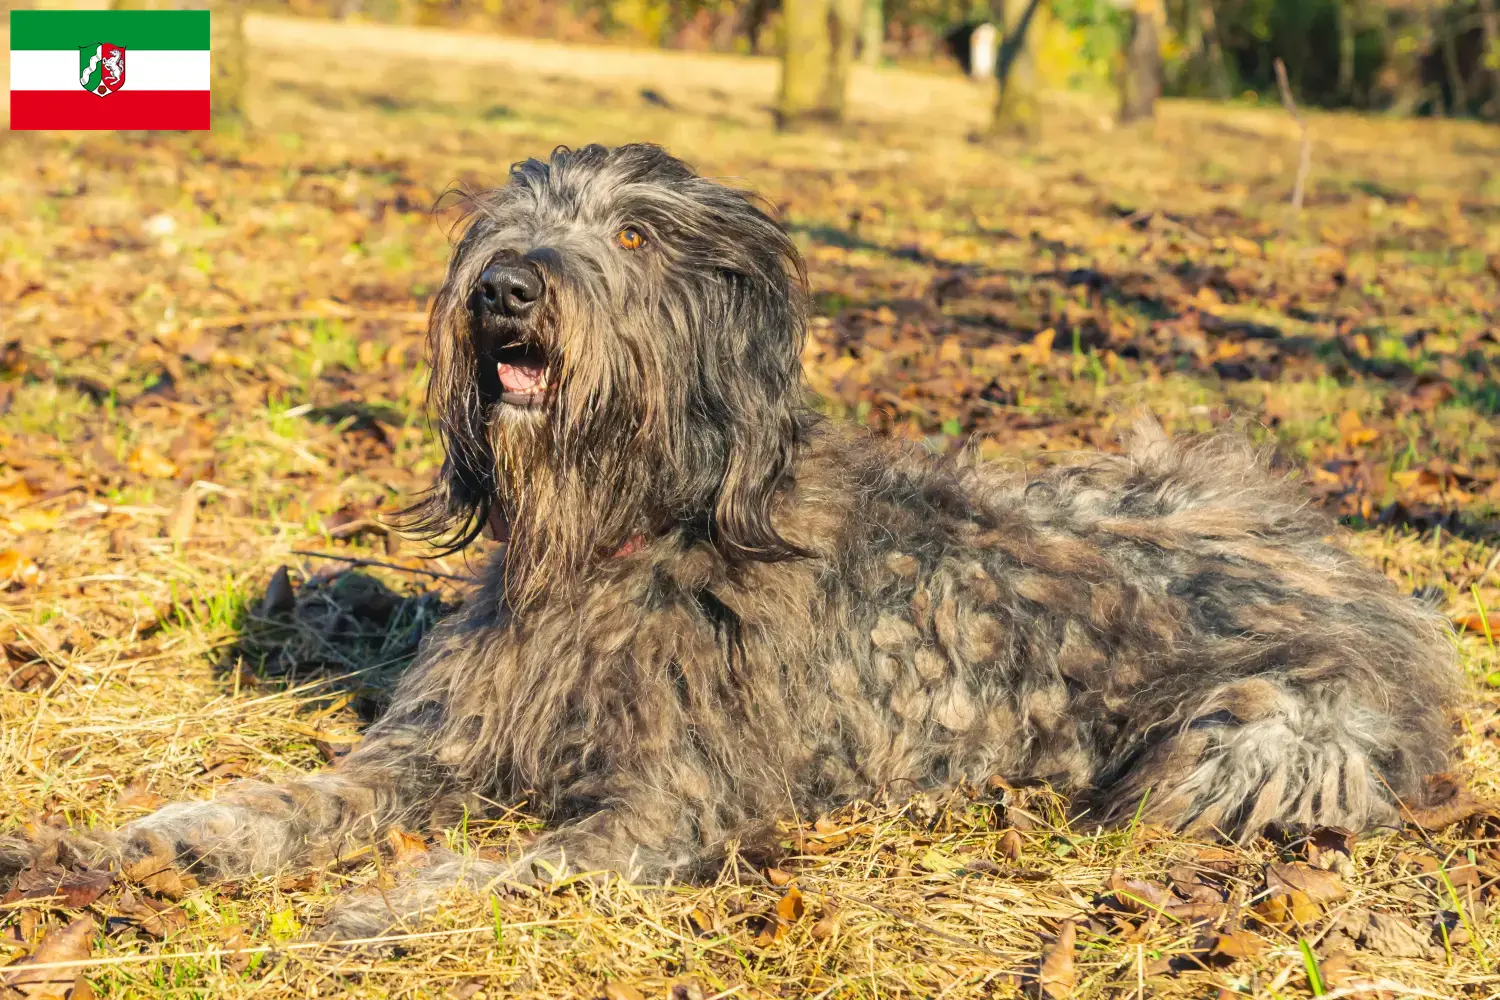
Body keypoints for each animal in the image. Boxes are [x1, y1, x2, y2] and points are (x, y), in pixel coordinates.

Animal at [2, 140, 1464, 941]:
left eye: (635, 233)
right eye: (507, 227)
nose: (505, 292)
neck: (624, 534)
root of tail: (1369, 580)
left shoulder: (673, 804)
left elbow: (515, 868)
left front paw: (390, 906)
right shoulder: (446, 743)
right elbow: (280, 803)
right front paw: (124, 846)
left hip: (1269, 735)